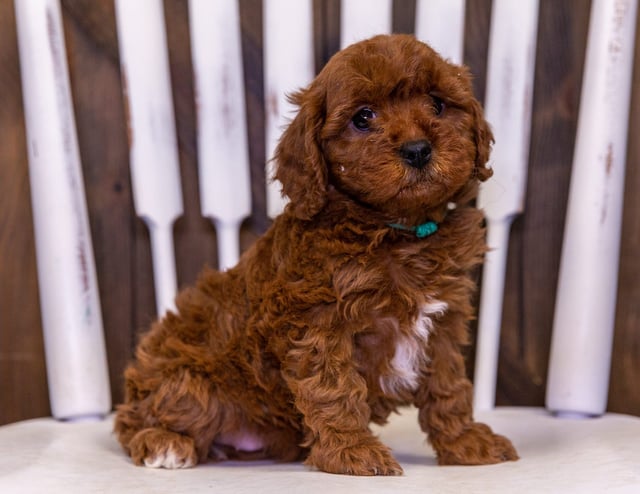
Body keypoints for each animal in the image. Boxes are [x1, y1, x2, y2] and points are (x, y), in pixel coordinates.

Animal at [112, 33, 516, 474]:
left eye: (438, 104)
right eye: (363, 117)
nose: (417, 149)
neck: (399, 231)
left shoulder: (443, 323)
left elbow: (449, 387)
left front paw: (465, 441)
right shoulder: (319, 323)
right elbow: (333, 389)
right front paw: (353, 452)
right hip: (191, 383)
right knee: (134, 418)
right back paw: (163, 443)